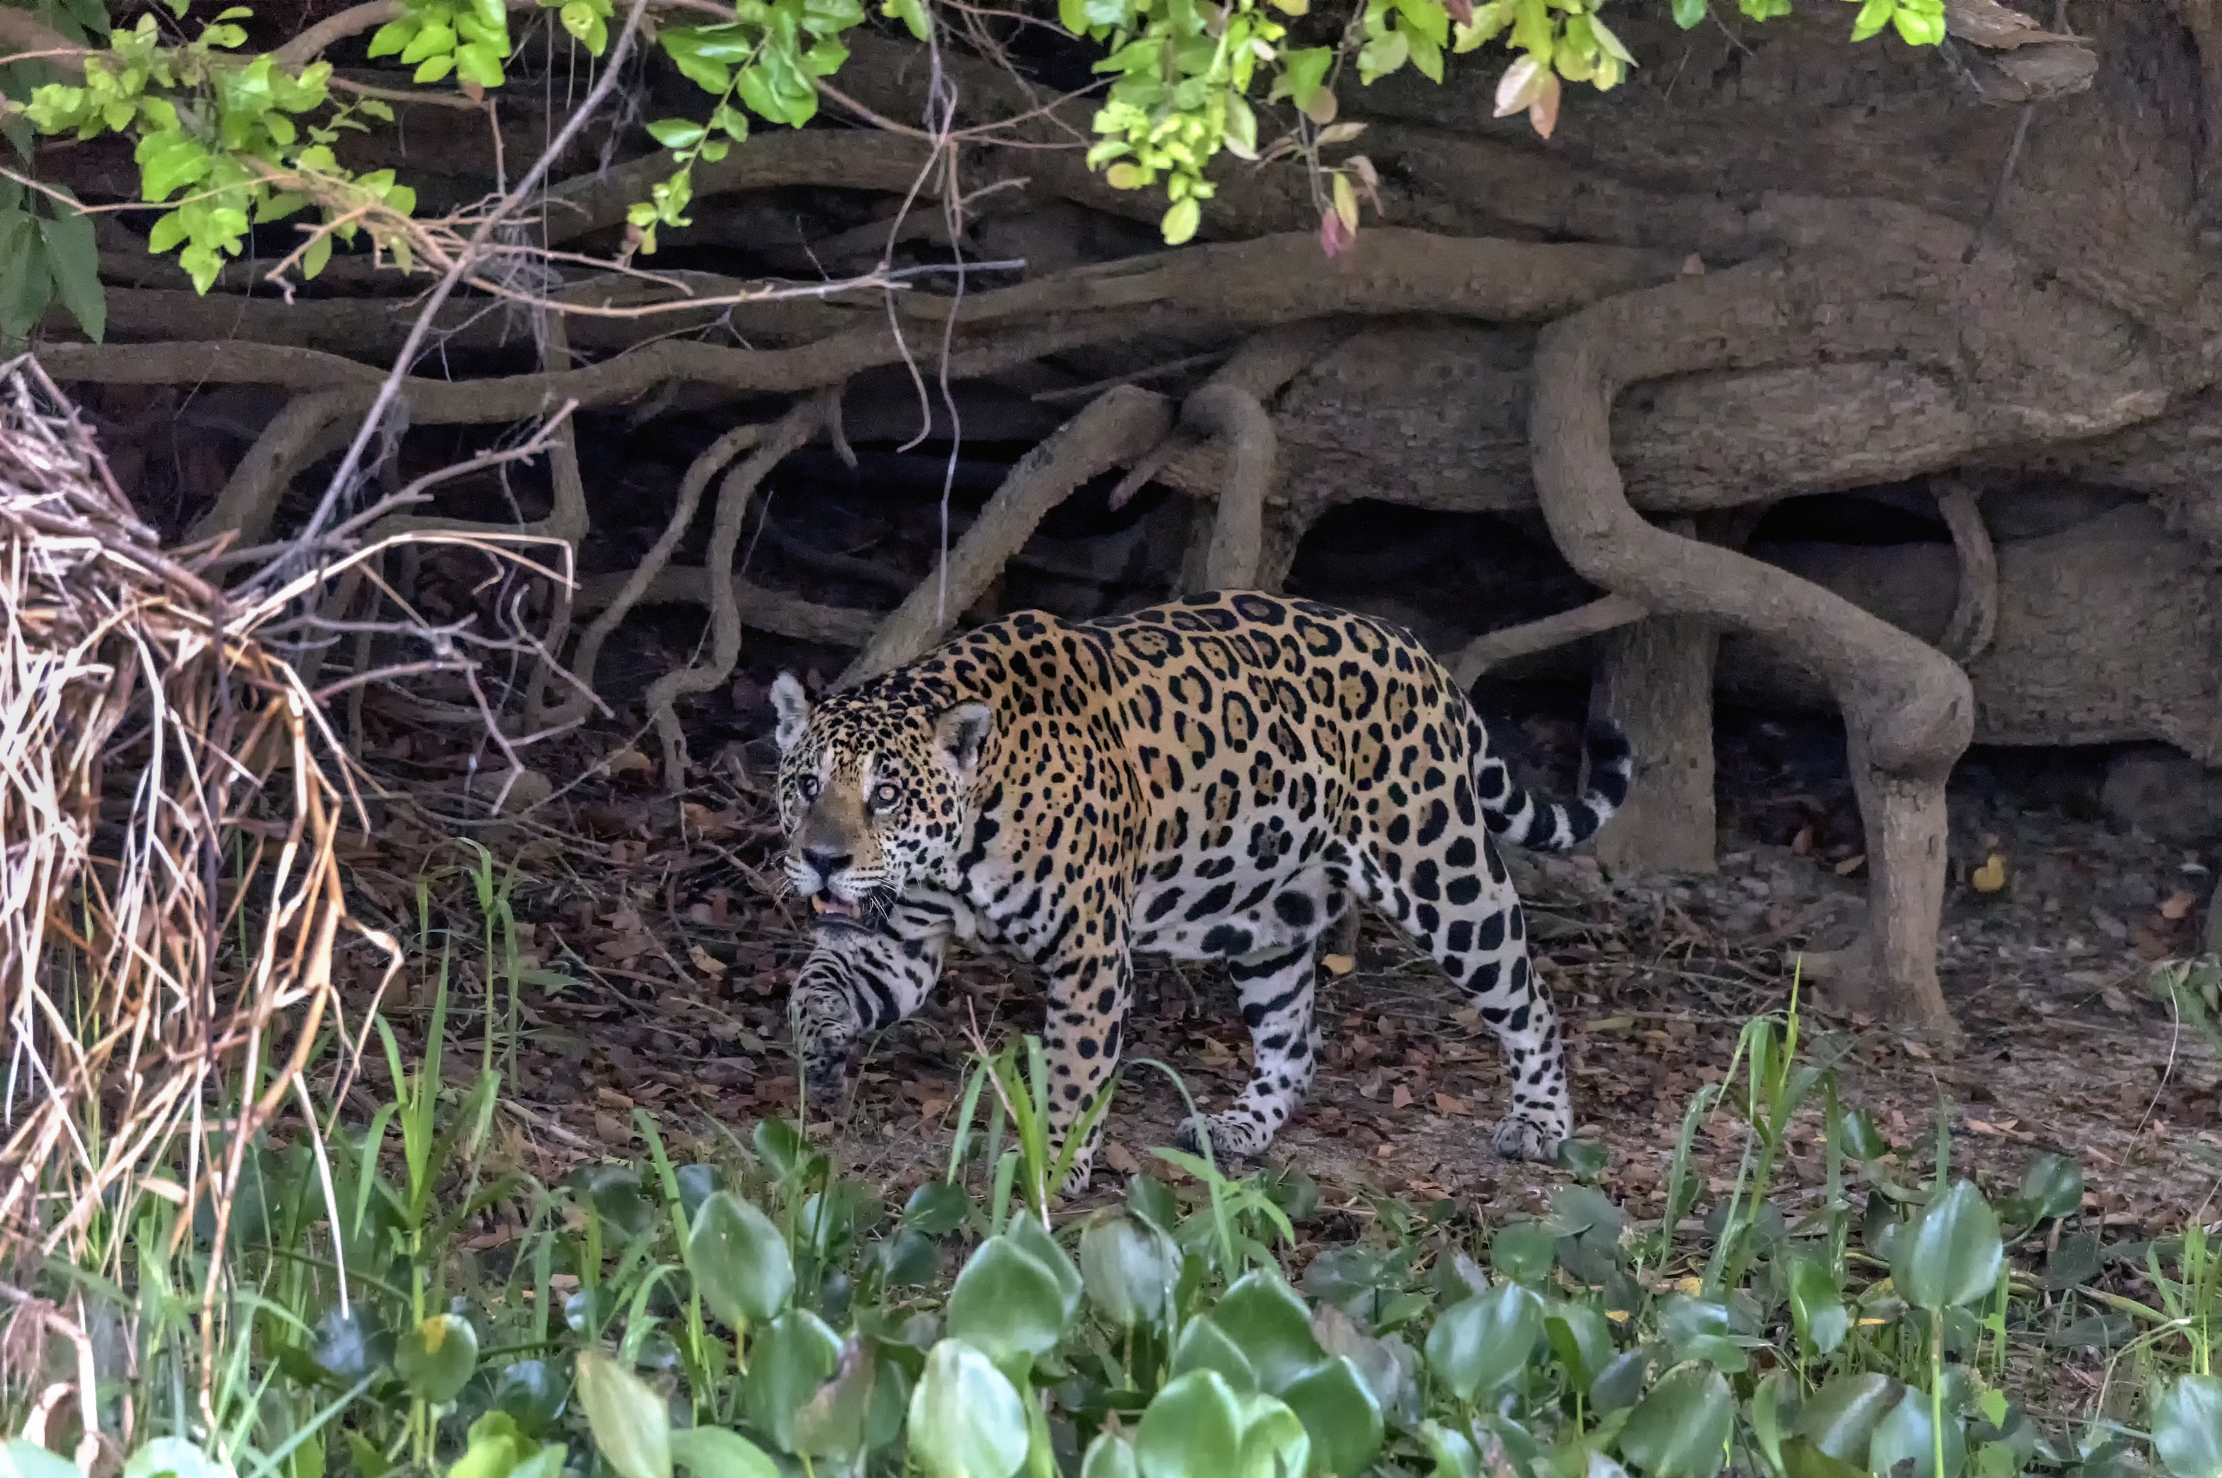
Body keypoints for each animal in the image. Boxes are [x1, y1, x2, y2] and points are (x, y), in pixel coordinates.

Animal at [768, 590, 1632, 1193]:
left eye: (886, 796)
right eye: (807, 785)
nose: (822, 860)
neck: (953, 849)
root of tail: (1419, 654)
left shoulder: (1088, 956)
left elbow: (1076, 1075)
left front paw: (1054, 1171)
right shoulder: (895, 941)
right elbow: (817, 984)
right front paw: (822, 1055)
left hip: (1441, 872)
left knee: (1526, 997)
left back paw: (1541, 1123)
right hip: (1269, 912)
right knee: (1294, 1038)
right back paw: (1239, 1129)